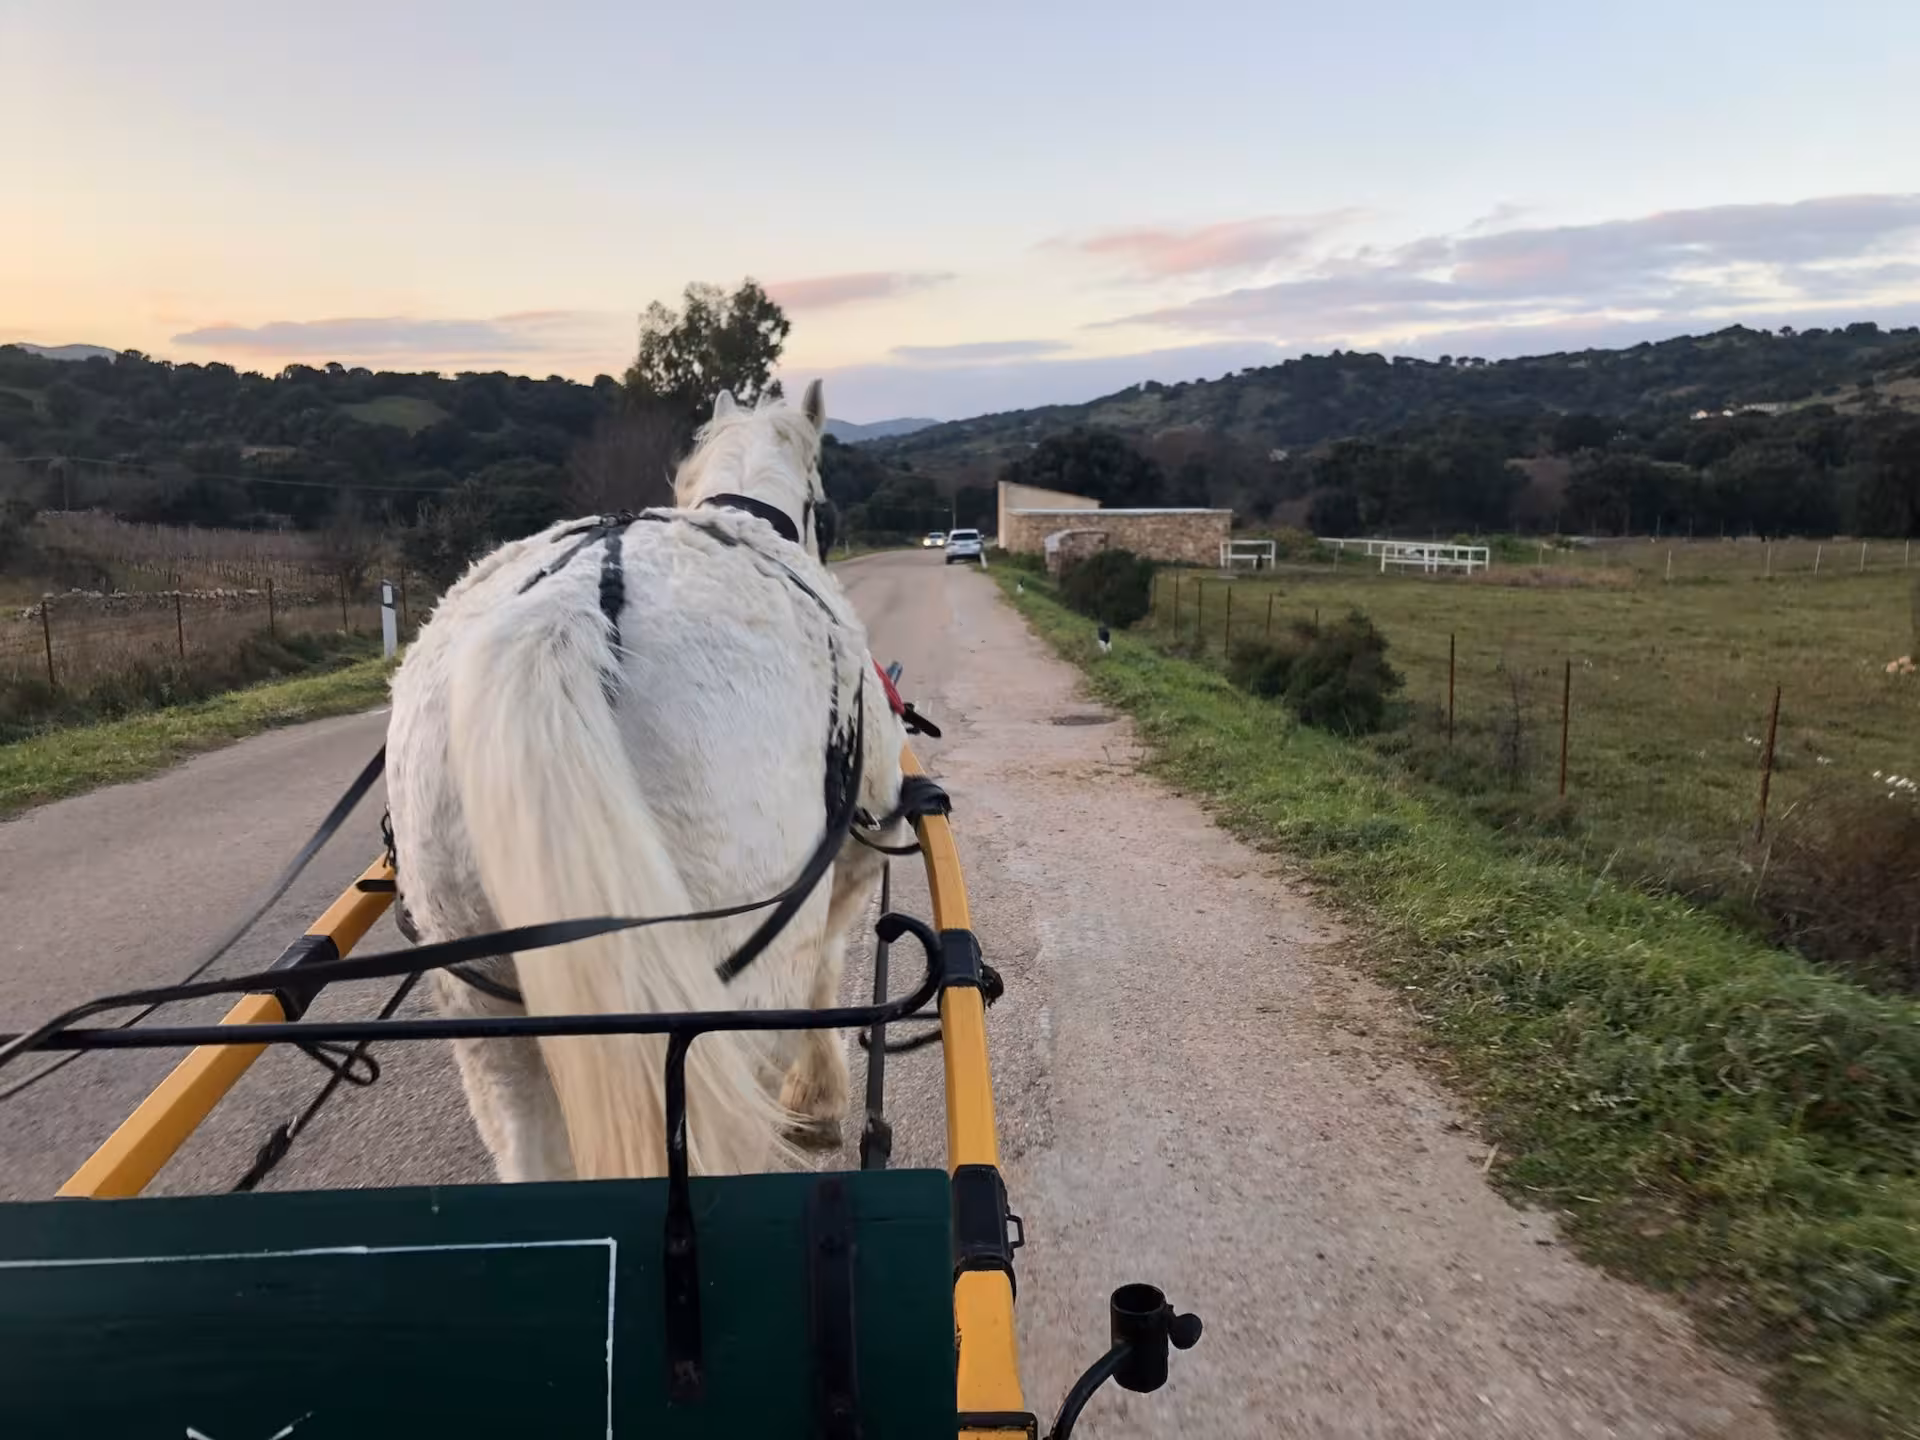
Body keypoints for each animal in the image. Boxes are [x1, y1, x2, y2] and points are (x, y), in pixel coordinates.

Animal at [384, 380, 908, 1182]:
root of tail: (563, 615)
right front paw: (816, 1104)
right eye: (823, 500)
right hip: (732, 992)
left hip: (484, 1007)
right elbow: (828, 968)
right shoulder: (846, 870)